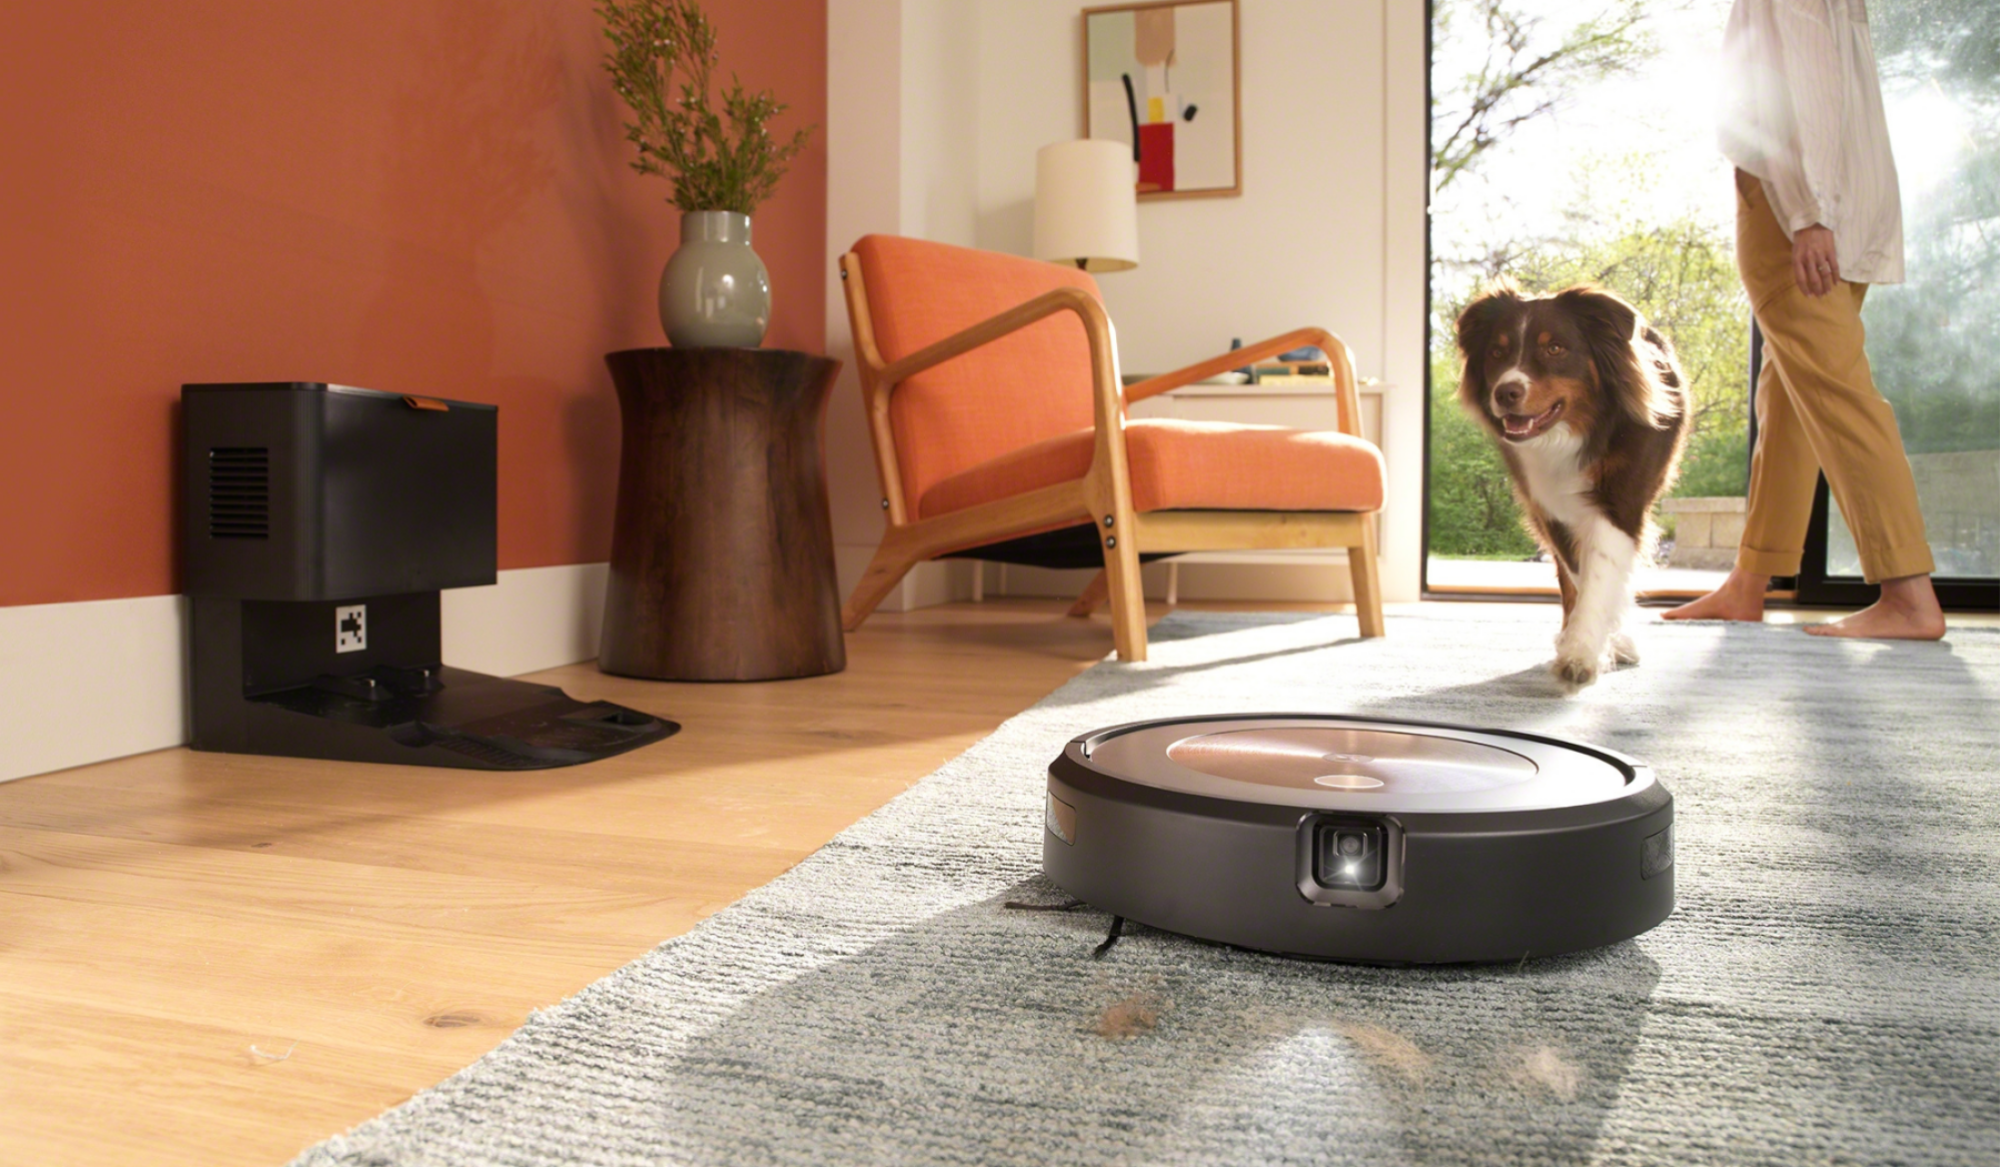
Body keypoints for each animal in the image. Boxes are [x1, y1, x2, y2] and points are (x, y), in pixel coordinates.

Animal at [1456, 279, 1688, 683]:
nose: (1505, 392)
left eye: (1555, 348)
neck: (1578, 433)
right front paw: (1592, 643)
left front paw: (1580, 655)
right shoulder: (1549, 507)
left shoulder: (1621, 502)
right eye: (1497, 352)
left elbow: (1601, 573)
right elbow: (1579, 576)